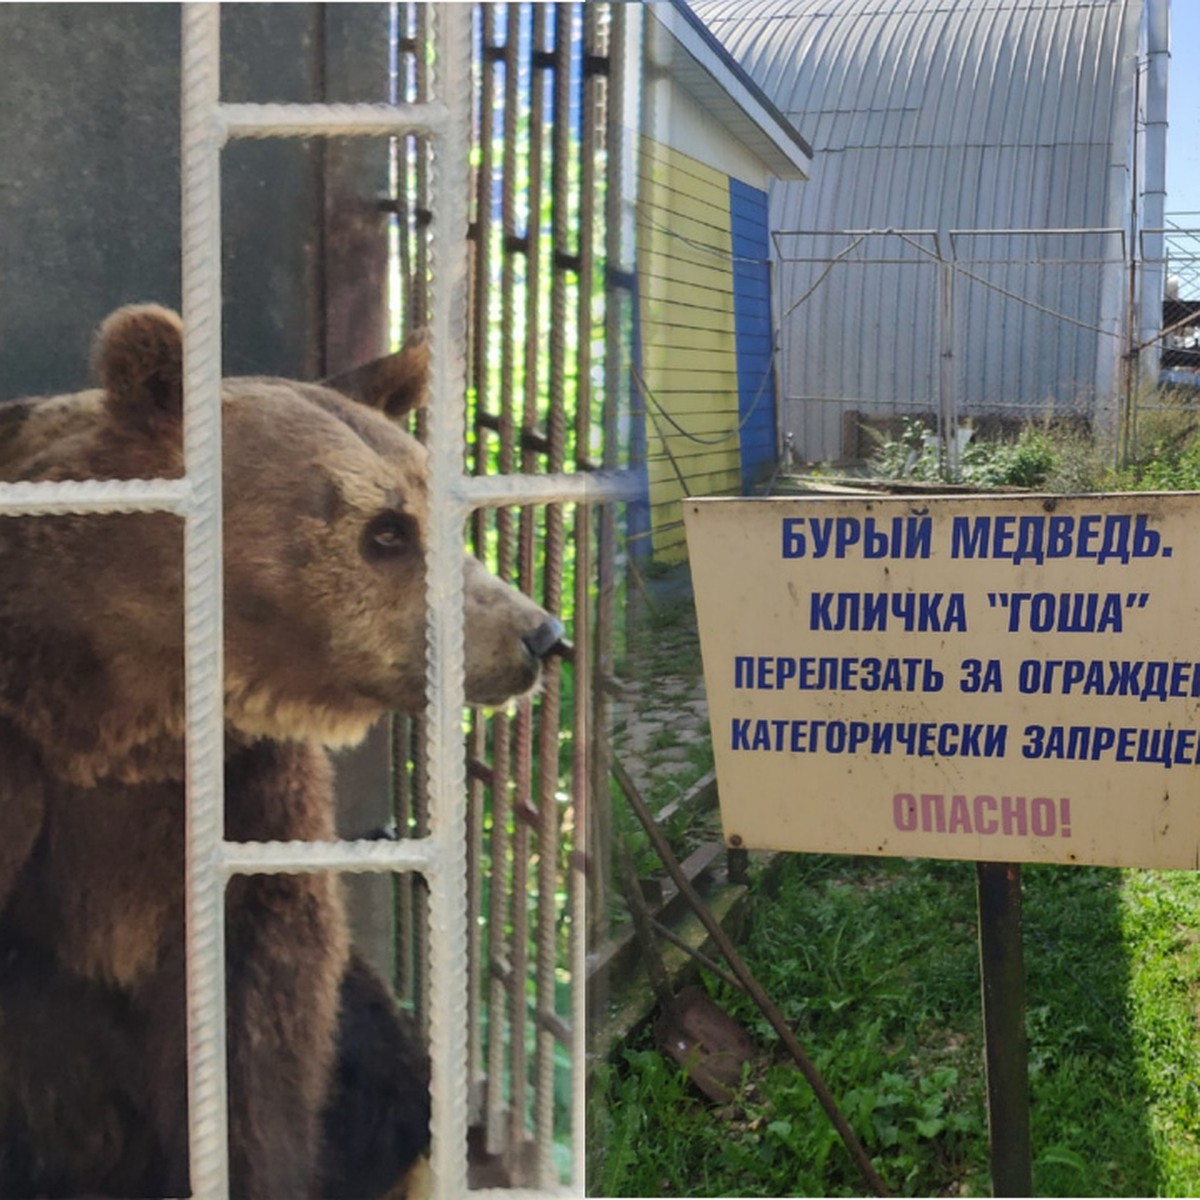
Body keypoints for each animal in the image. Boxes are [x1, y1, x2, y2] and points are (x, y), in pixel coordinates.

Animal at [0, 304, 561, 1195]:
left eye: (446, 514)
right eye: (385, 530)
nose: (539, 636)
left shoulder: (248, 797)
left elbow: (262, 1033)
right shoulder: (34, 782)